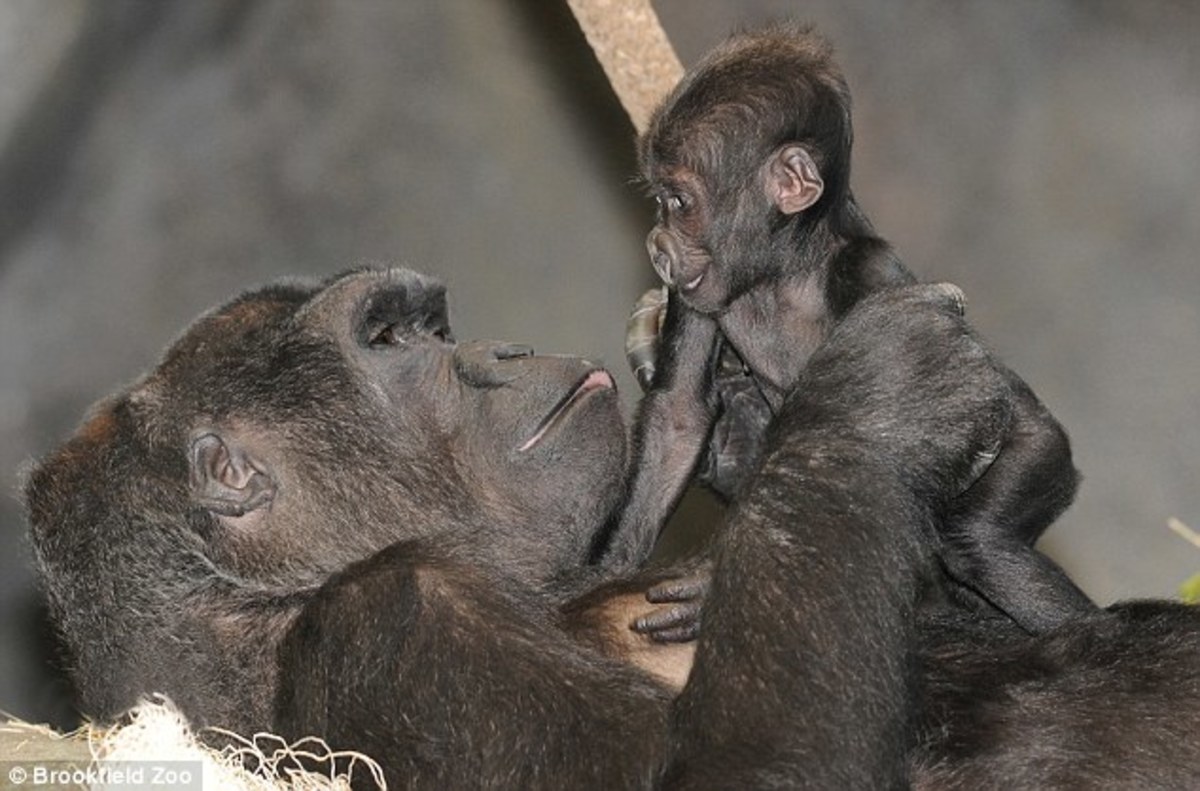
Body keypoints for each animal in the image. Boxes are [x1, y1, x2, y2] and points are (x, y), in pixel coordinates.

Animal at [25, 268, 1200, 787]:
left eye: (430, 324)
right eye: (392, 339)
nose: (498, 347)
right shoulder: (391, 624)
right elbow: (743, 775)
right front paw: (873, 400)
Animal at [597, 21, 1099, 633]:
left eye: (679, 202)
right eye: (661, 201)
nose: (657, 244)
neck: (784, 270)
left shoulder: (871, 272)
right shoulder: (695, 296)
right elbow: (678, 416)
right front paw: (600, 574)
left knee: (982, 537)